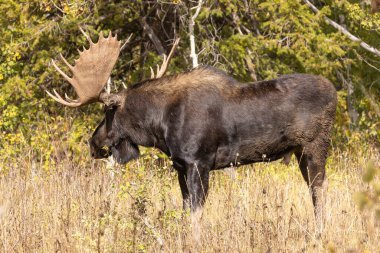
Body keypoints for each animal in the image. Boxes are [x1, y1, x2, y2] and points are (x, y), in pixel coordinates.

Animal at [47, 30, 336, 232]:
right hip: (299, 151)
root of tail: (335, 92)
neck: (160, 126)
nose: (93, 143)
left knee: (319, 190)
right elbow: (186, 210)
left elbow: (196, 213)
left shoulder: (199, 162)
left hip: (315, 145)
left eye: (108, 111)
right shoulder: (180, 166)